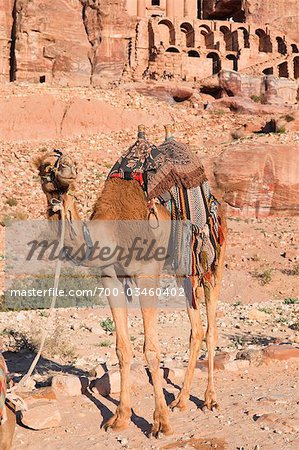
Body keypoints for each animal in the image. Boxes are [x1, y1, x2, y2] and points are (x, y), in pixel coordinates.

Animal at [33, 129, 227, 436]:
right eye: (45, 170)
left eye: (61, 163)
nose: (67, 167)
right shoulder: (110, 278)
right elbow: (122, 349)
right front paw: (120, 418)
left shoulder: (147, 273)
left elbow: (151, 350)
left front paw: (160, 423)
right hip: (184, 271)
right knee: (195, 329)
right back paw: (181, 401)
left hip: (213, 259)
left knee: (211, 328)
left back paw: (209, 399)